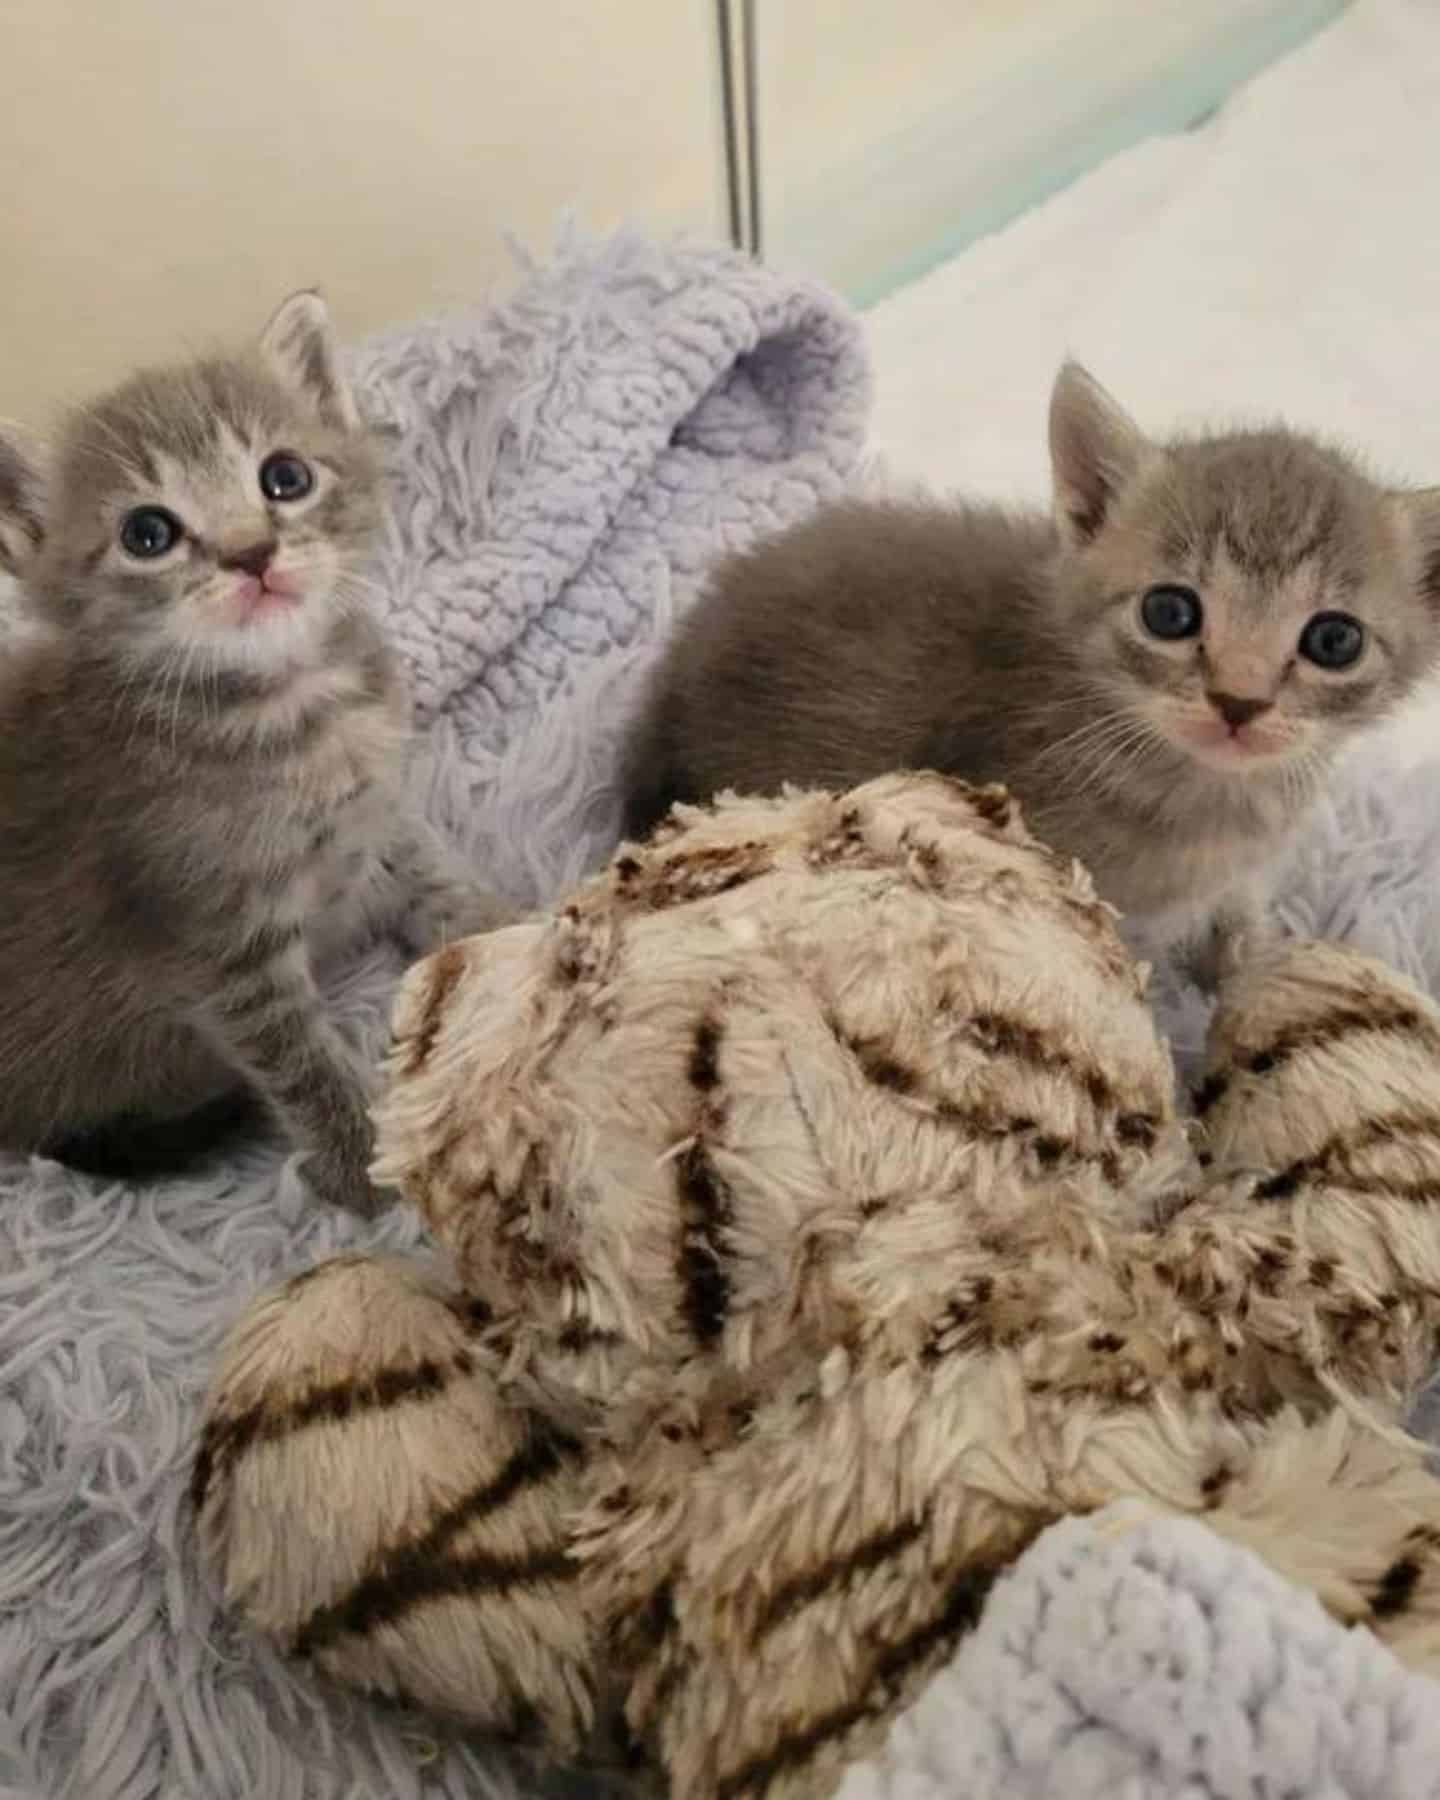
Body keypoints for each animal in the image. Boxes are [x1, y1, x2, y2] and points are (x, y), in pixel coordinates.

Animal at [0, 295, 511, 1216]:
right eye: (148, 532)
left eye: (284, 478)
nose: (251, 554)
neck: (297, 708)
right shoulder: (219, 947)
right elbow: (301, 1065)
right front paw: (365, 1171)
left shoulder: (378, 810)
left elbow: (430, 871)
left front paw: (498, 932)